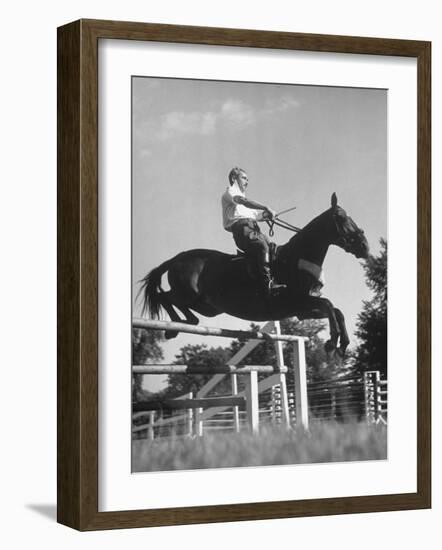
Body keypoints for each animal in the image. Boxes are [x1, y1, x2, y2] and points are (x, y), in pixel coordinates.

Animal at [139, 194, 370, 358]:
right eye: (341, 217)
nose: (364, 247)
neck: (296, 258)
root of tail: (176, 259)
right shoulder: (298, 301)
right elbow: (330, 305)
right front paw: (332, 342)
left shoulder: (303, 309)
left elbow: (337, 311)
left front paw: (343, 345)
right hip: (189, 295)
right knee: (164, 296)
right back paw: (173, 328)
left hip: (207, 306)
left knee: (184, 309)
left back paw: (183, 323)